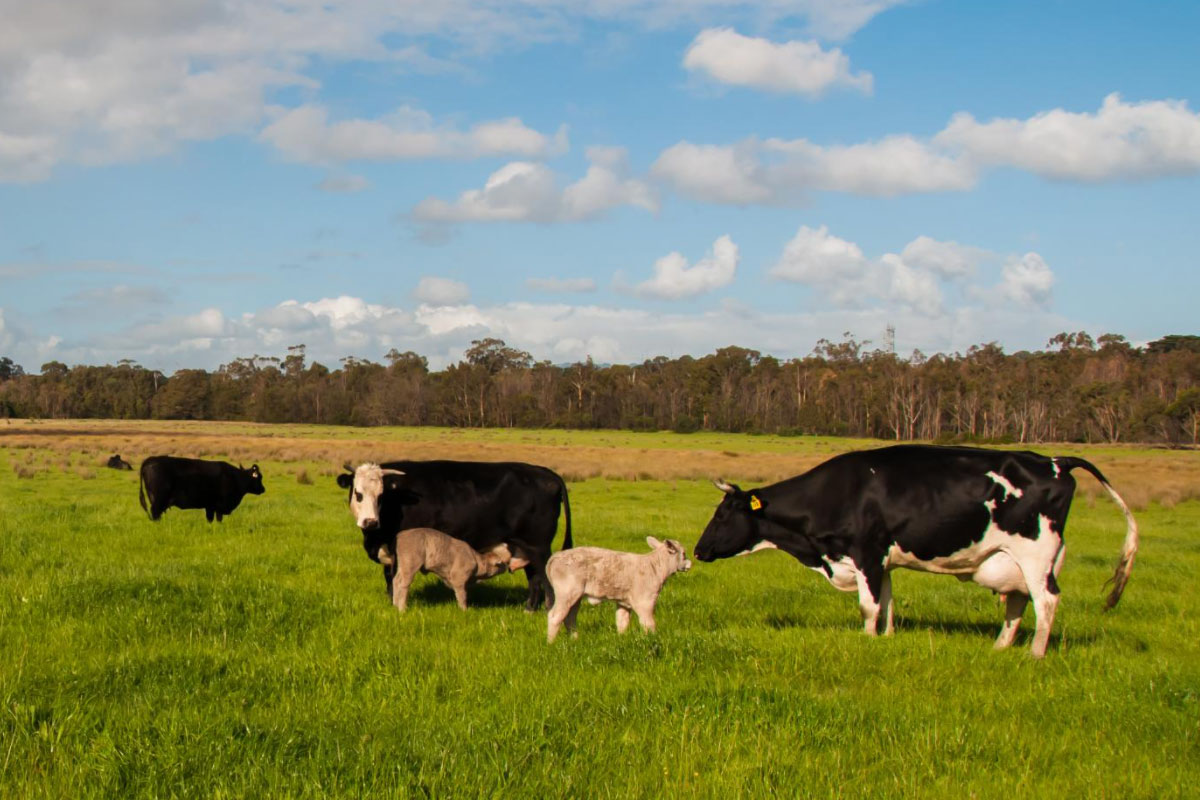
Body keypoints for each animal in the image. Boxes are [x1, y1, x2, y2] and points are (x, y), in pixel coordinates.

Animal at [336, 460, 573, 609]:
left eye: (380, 495)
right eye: (358, 493)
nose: (370, 521)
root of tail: (545, 473)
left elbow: (395, 579)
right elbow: (388, 579)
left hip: (538, 548)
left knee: (546, 582)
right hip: (524, 548)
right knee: (534, 580)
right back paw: (529, 609)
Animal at [547, 537, 696, 642]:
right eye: (683, 554)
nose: (690, 564)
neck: (654, 566)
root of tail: (554, 557)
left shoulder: (624, 602)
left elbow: (622, 622)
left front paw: (622, 640)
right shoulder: (645, 601)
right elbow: (649, 624)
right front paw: (652, 639)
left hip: (575, 596)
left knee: (570, 618)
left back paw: (574, 640)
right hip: (566, 592)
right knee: (554, 616)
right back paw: (551, 643)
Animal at [691, 443, 1137, 657]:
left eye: (722, 515)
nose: (698, 550)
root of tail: (1055, 461)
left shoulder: (867, 553)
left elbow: (868, 607)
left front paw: (868, 640)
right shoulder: (884, 561)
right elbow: (888, 603)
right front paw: (886, 639)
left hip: (1036, 555)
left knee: (1046, 602)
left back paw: (1035, 654)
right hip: (1012, 560)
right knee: (1017, 601)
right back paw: (999, 648)